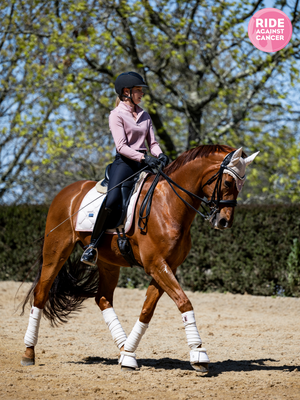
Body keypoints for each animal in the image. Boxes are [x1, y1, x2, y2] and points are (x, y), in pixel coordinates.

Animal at [21, 144, 258, 372]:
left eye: (241, 185)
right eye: (228, 181)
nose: (224, 222)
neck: (168, 204)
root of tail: (66, 192)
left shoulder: (167, 266)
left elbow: (147, 310)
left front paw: (128, 355)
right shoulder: (156, 265)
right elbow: (184, 302)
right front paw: (199, 355)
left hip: (108, 262)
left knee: (102, 298)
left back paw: (122, 348)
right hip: (56, 250)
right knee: (41, 293)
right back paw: (28, 353)